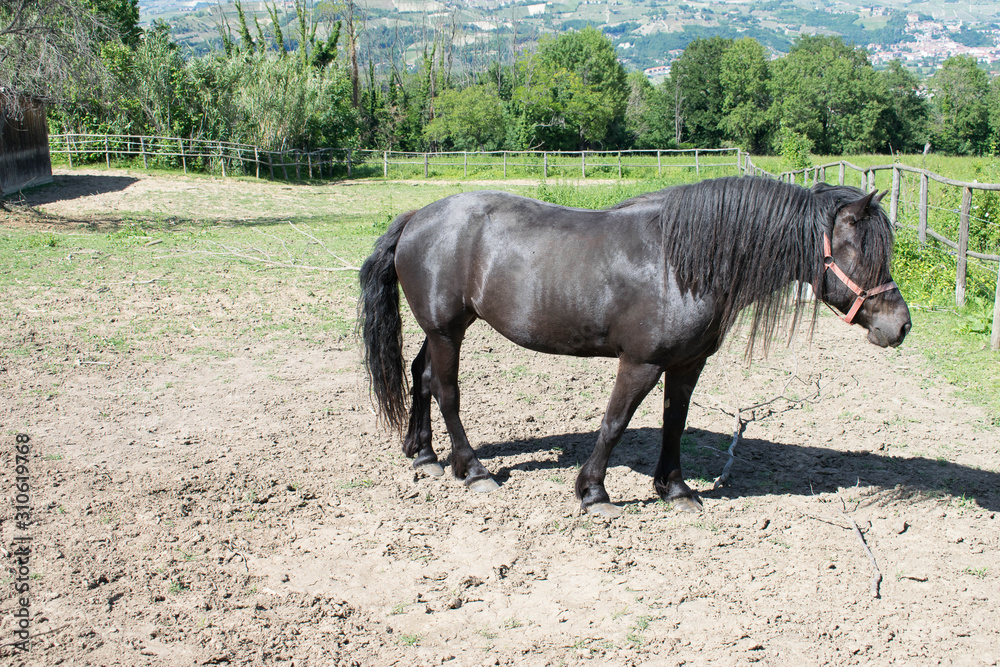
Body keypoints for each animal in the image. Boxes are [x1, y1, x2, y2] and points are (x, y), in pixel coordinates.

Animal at [358, 176, 911, 518]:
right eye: (862, 253)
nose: (901, 326)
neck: (682, 264)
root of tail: (418, 216)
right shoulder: (641, 363)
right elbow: (615, 423)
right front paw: (593, 492)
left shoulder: (686, 364)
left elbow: (674, 424)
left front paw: (676, 489)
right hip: (448, 331)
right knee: (447, 391)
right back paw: (472, 470)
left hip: (441, 331)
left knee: (421, 377)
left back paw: (424, 454)